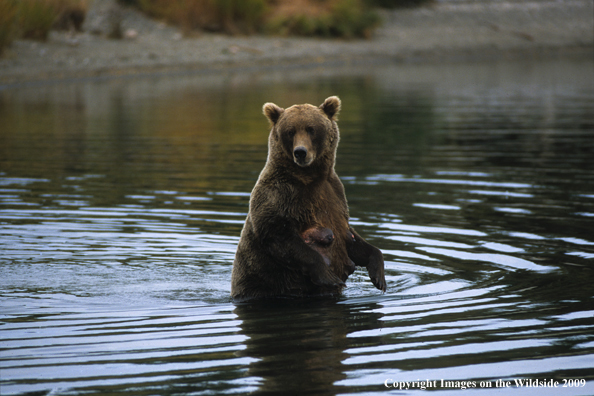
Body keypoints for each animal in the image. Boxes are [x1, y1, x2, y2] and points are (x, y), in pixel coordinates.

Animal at [229, 96, 386, 300]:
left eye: (311, 129)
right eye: (290, 131)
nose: (300, 152)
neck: (309, 177)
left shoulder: (335, 195)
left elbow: (351, 237)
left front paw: (379, 276)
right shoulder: (279, 195)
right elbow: (279, 235)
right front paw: (330, 276)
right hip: (260, 284)